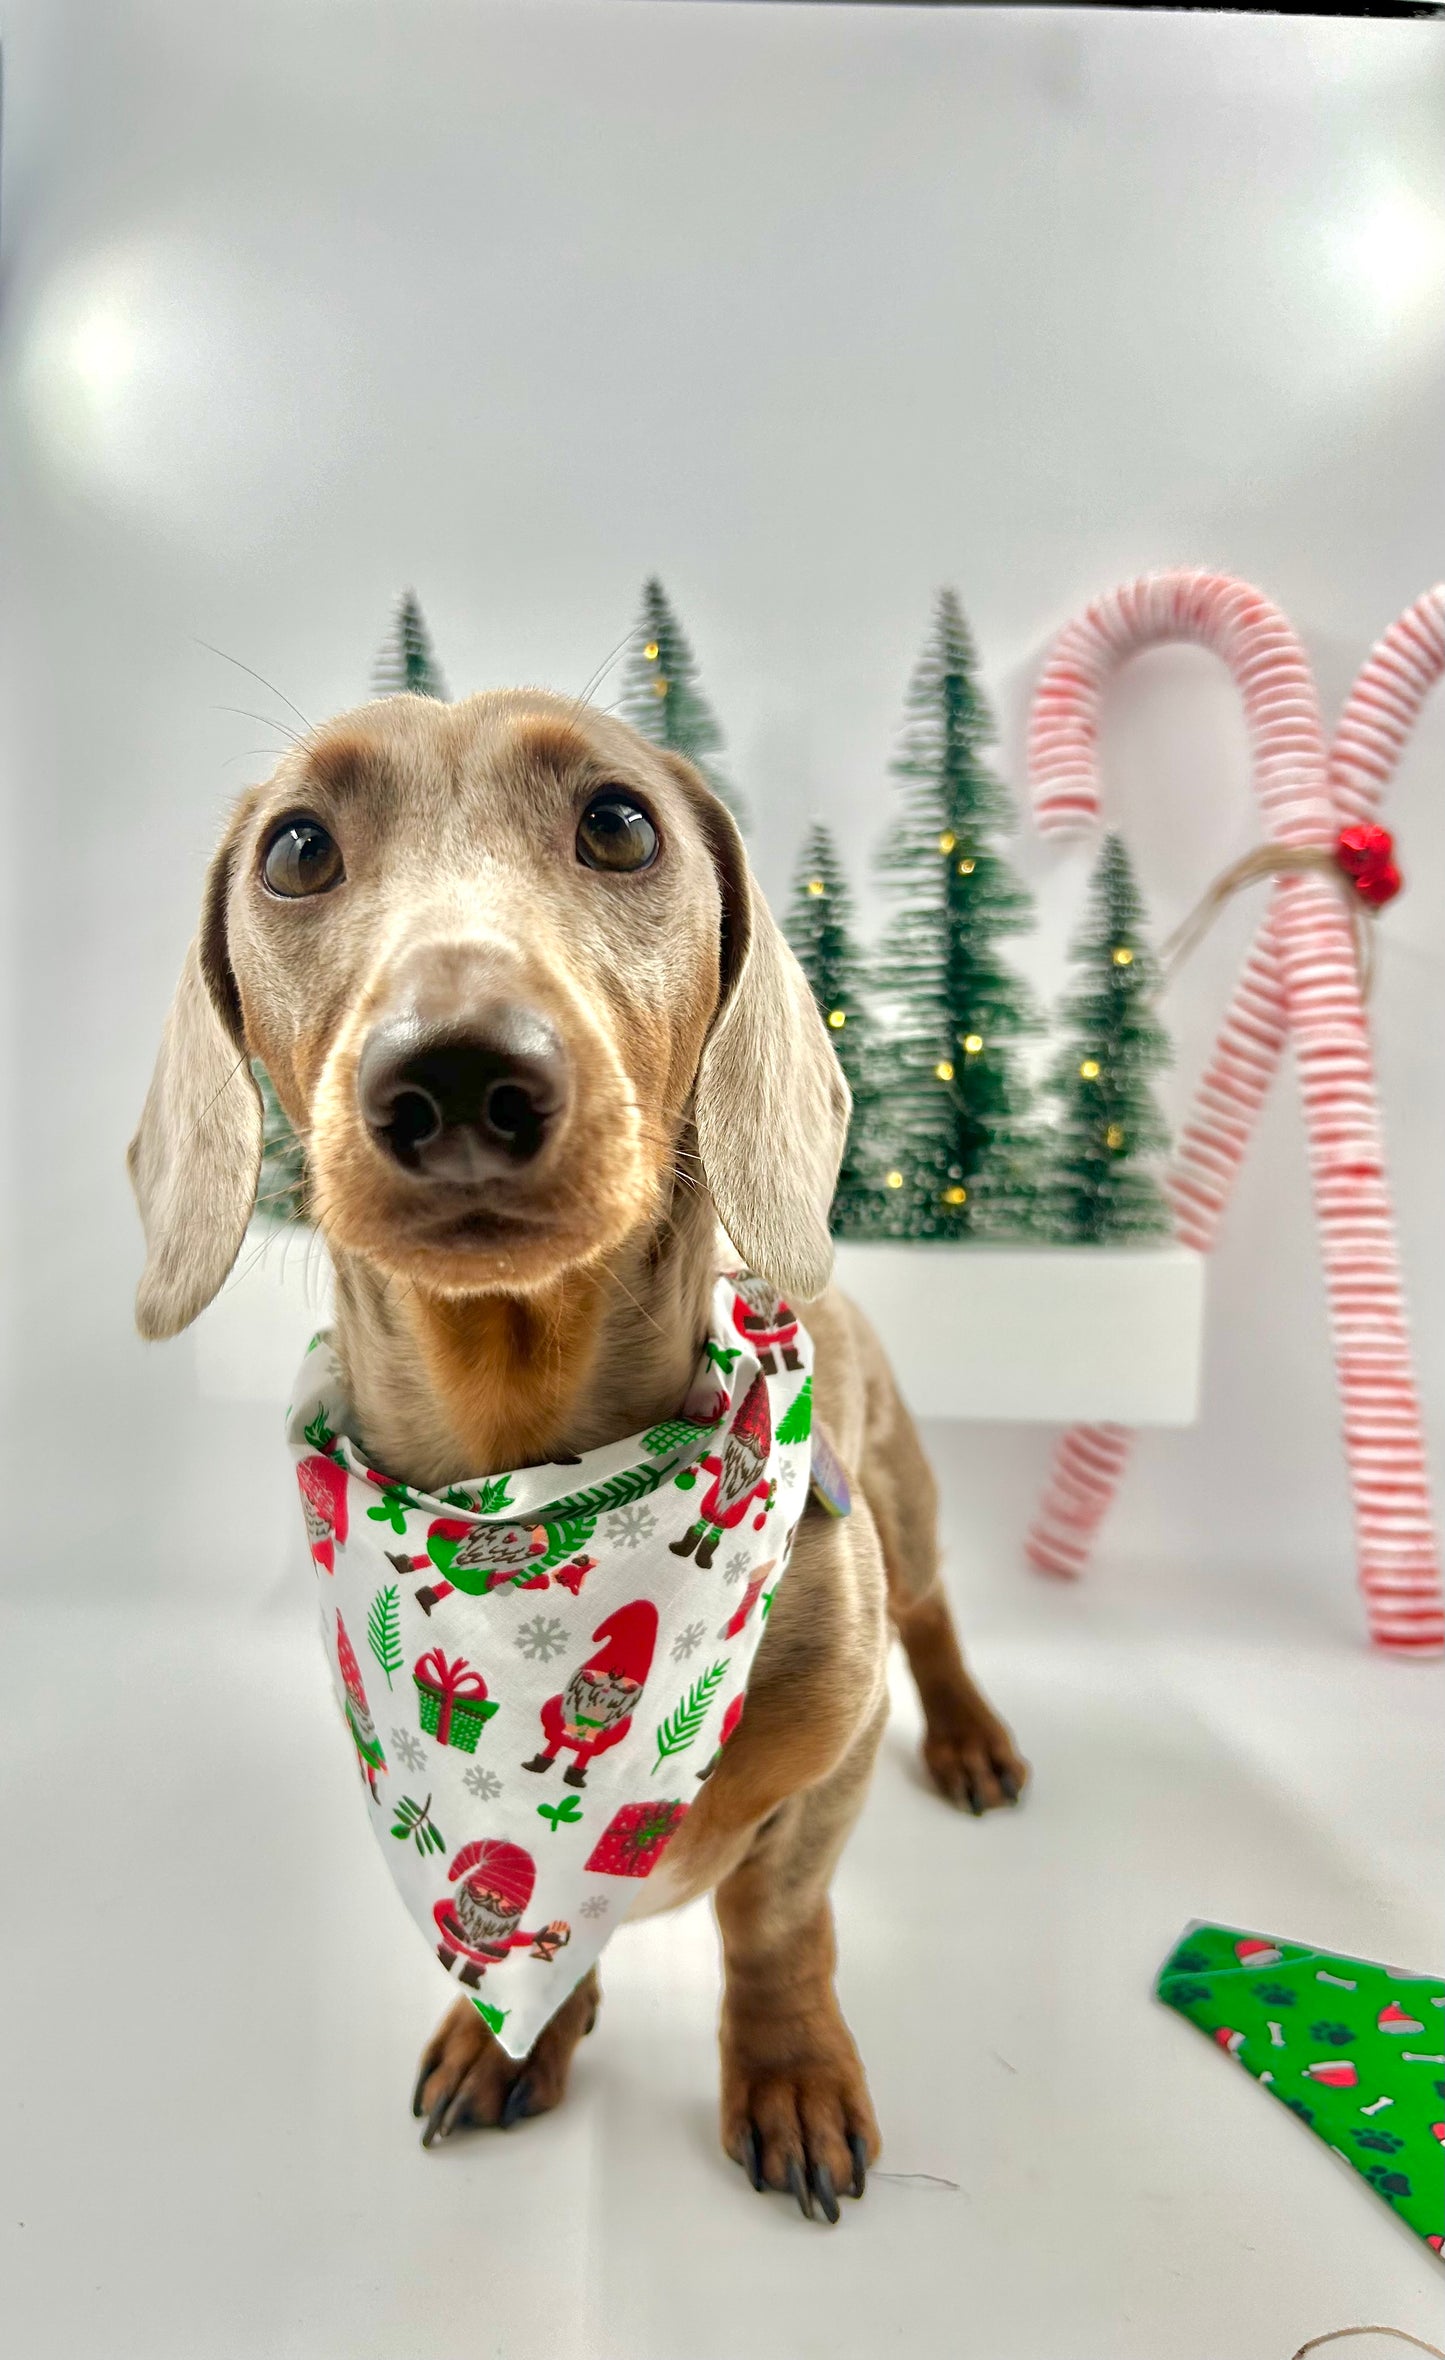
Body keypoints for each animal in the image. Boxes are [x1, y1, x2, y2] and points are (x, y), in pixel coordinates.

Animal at [126, 689, 1029, 2227]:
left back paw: (968, 1734)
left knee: (932, 1611)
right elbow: (548, 1943)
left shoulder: (829, 1762)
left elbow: (776, 1919)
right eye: (296, 849)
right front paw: (513, 2040)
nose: (457, 1073)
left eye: (618, 821)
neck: (528, 1473)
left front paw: (788, 2072)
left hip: (904, 1500)